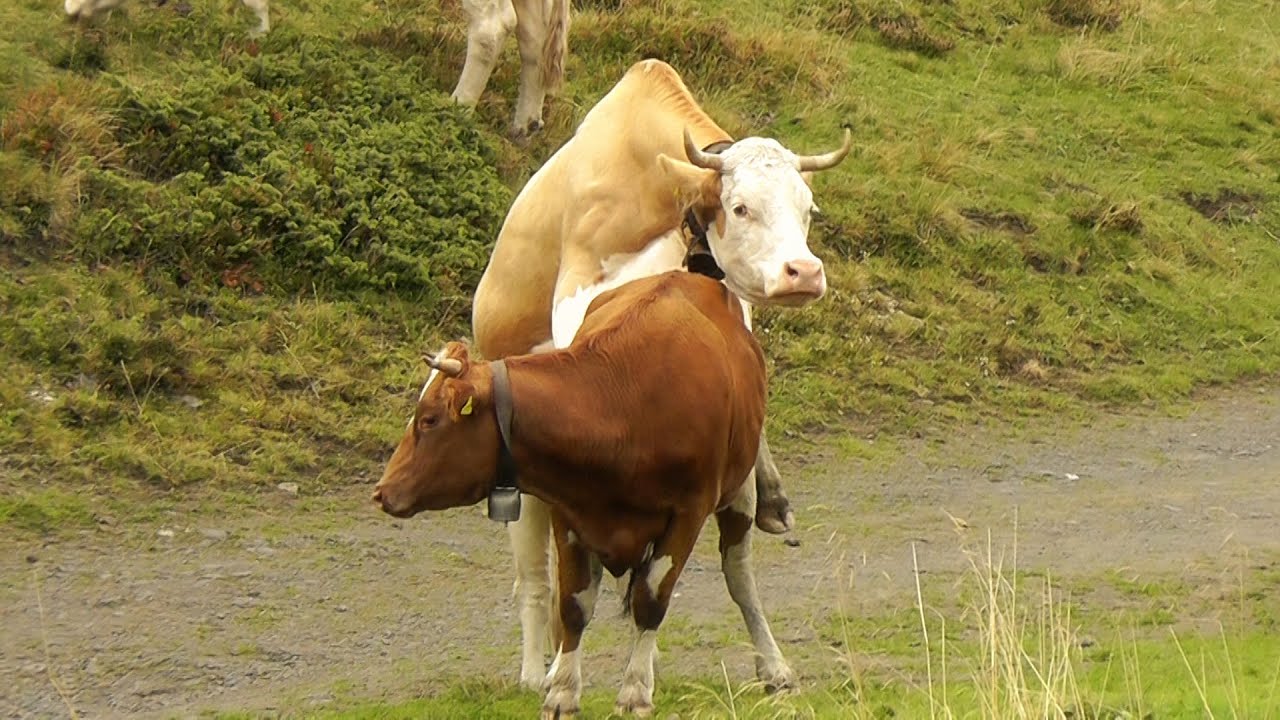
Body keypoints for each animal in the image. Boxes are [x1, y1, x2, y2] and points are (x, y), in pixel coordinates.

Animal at [371, 271, 788, 712]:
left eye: (429, 419)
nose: (383, 491)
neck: (619, 410)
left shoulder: (688, 513)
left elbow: (651, 599)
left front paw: (635, 690)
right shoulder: (569, 511)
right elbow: (574, 604)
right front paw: (562, 691)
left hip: (738, 489)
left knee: (738, 575)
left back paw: (772, 666)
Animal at [471, 58, 849, 686]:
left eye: (807, 210)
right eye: (741, 207)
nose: (804, 272)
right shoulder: (579, 292)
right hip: (523, 495)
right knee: (536, 579)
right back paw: (534, 670)